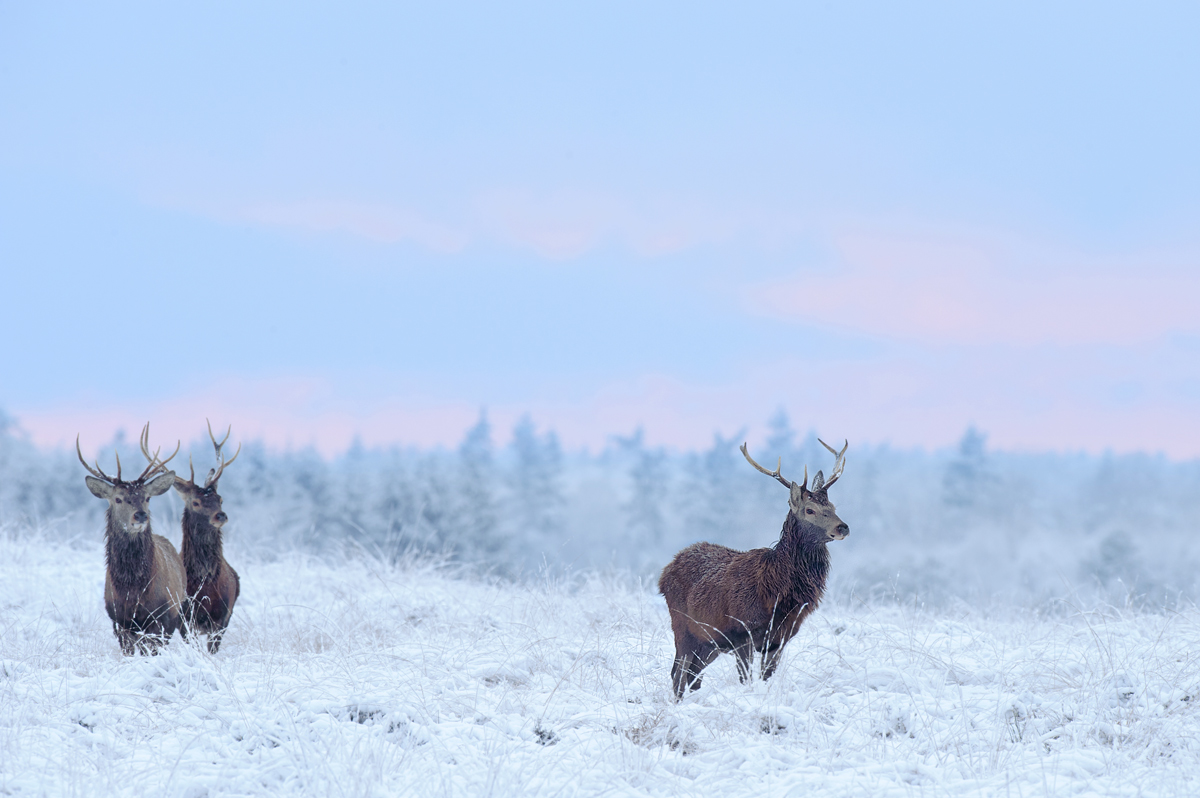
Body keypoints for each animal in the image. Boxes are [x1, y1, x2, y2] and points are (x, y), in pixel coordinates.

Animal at [78, 424, 185, 655]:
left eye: (147, 497)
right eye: (118, 499)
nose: (141, 515)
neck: (133, 591)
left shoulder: (160, 617)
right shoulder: (119, 620)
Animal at [658, 438, 849, 699]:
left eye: (832, 506)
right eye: (810, 510)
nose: (843, 527)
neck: (777, 593)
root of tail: (665, 573)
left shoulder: (779, 639)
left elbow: (766, 679)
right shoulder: (743, 632)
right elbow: (745, 680)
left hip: (709, 642)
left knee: (693, 675)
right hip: (683, 627)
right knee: (678, 673)